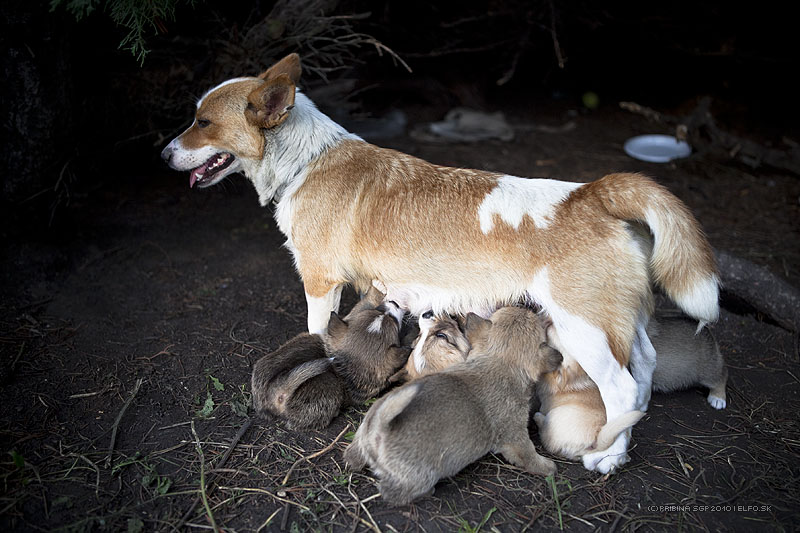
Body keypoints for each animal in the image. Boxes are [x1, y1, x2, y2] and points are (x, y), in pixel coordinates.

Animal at [343, 307, 562, 505]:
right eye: (442, 335)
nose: (428, 312)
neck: (500, 361)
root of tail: (377, 428)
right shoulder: (516, 436)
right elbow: (529, 454)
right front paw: (547, 467)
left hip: (360, 439)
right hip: (416, 475)